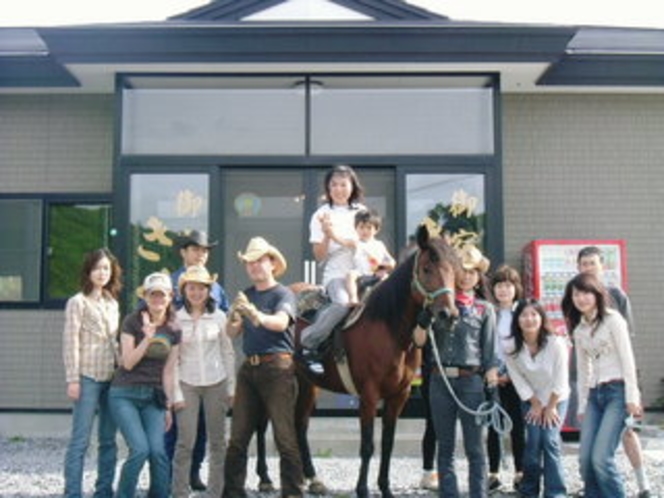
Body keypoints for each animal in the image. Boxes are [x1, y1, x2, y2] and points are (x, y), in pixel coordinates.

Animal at [286, 225, 462, 498]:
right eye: (426, 269)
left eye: (454, 269)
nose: (448, 315)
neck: (389, 329)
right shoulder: (368, 395)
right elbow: (367, 444)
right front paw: (362, 489)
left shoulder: (399, 395)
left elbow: (387, 442)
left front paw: (385, 488)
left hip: (308, 382)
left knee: (300, 424)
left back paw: (312, 479)